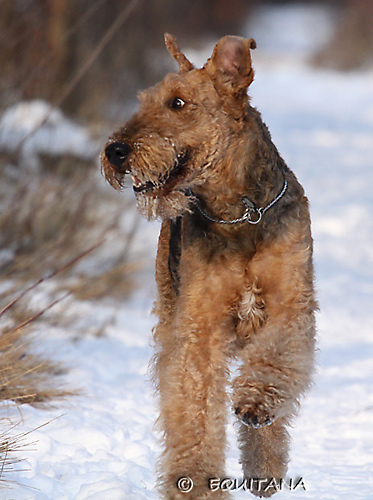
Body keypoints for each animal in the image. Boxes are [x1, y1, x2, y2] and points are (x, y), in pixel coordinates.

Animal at [100, 33, 316, 498]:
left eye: (178, 103)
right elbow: (194, 406)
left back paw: (265, 470)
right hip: (170, 310)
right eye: (145, 100)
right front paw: (195, 481)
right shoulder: (199, 328)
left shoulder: (291, 308)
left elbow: (274, 362)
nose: (115, 151)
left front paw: (254, 403)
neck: (241, 213)